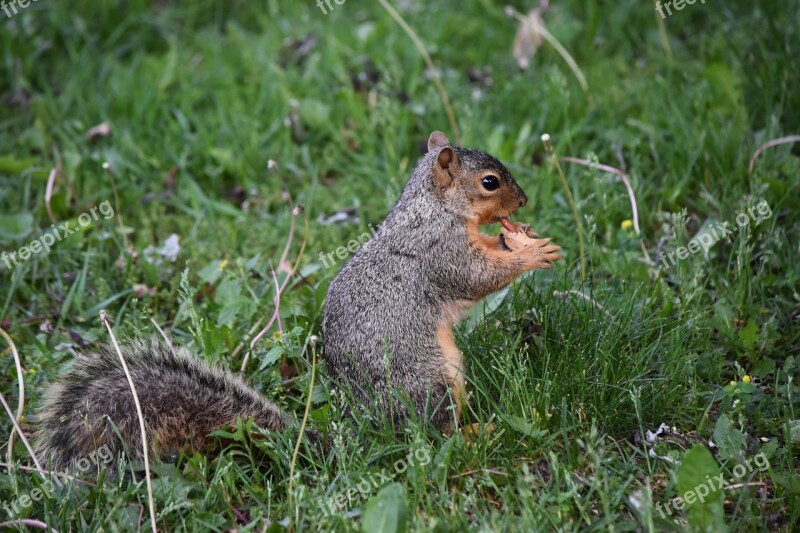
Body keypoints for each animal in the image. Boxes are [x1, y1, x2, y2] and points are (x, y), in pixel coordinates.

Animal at [32, 131, 564, 468]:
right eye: (489, 182)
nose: (524, 203)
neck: (433, 207)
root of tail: (364, 432)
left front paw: (520, 235)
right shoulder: (440, 251)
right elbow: (476, 277)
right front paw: (531, 251)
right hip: (431, 381)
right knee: (432, 436)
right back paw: (477, 434)